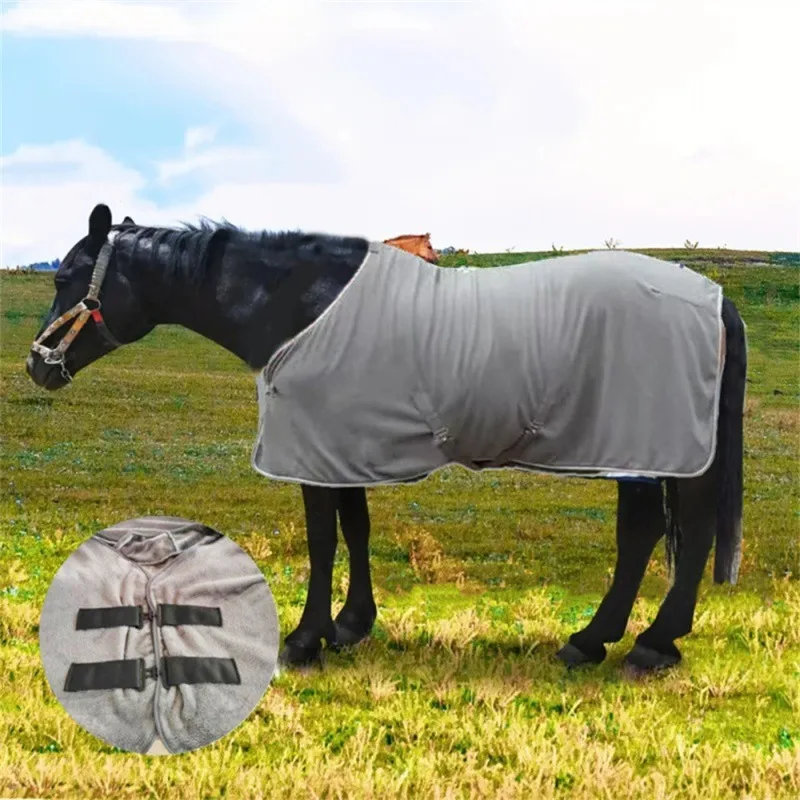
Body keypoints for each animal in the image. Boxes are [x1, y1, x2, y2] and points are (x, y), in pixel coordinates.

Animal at [26, 204, 747, 674]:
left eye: (65, 277)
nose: (38, 364)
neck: (300, 304)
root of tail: (712, 296)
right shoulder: (340, 446)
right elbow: (356, 528)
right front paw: (351, 625)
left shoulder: (314, 450)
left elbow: (323, 538)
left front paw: (305, 639)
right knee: (649, 535)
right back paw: (602, 640)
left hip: (649, 449)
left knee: (671, 534)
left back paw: (647, 645)